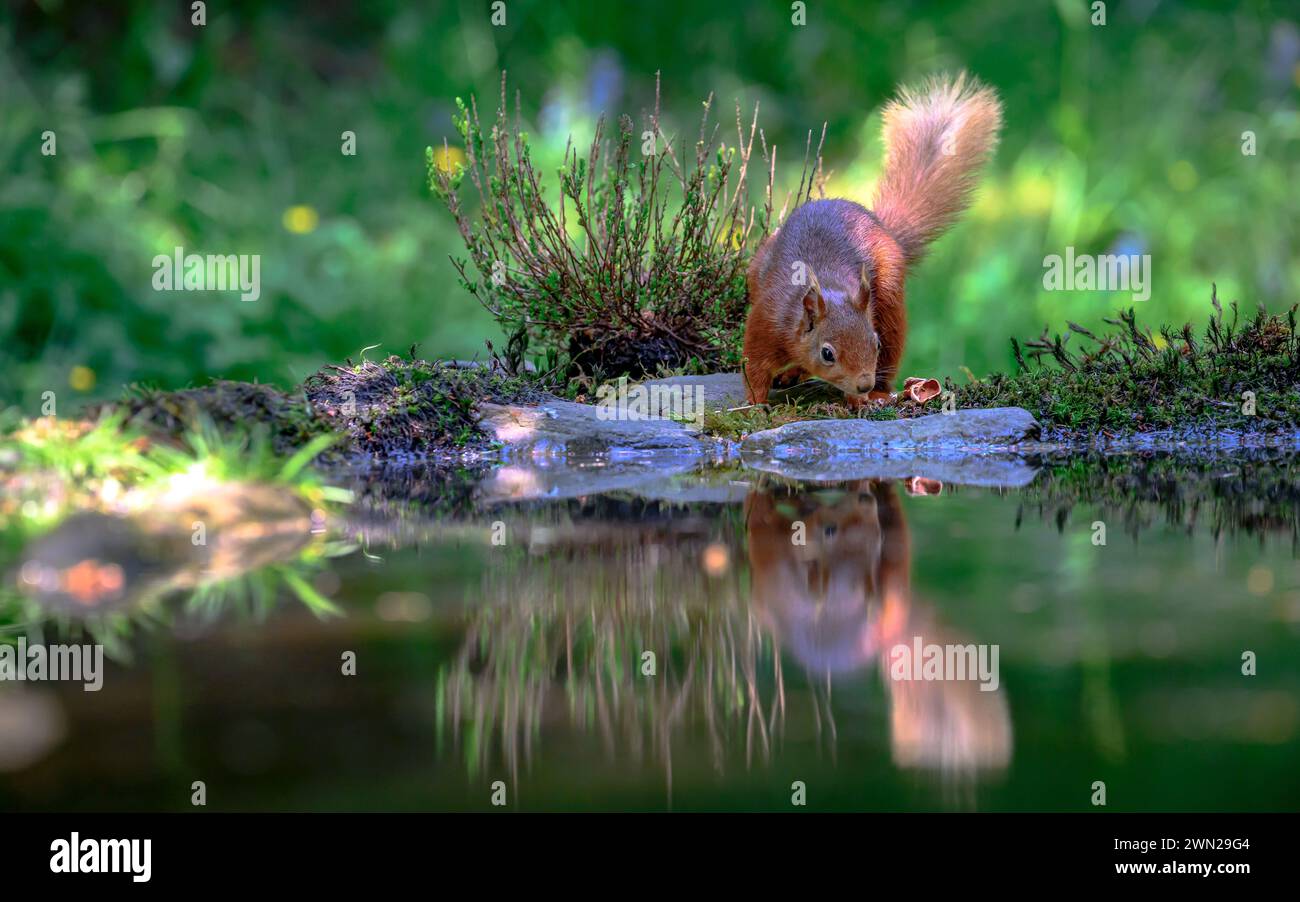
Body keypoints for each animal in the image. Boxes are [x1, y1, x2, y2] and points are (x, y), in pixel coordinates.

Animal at [742, 73, 1003, 406]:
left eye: (874, 344)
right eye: (827, 353)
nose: (863, 383)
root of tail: (878, 224)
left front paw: (859, 399)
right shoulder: (766, 322)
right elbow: (754, 367)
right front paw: (754, 405)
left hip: (889, 292)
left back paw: (877, 390)